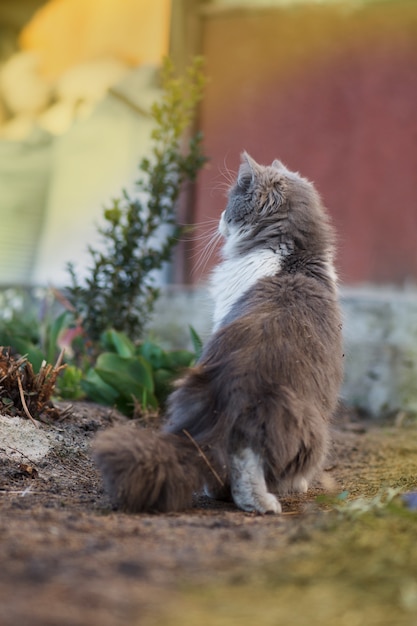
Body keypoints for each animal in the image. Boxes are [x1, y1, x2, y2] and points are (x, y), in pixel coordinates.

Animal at [92, 151, 342, 512]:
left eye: (230, 202)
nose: (221, 216)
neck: (291, 256)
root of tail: (237, 391)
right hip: (307, 429)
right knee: (245, 464)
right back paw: (264, 501)